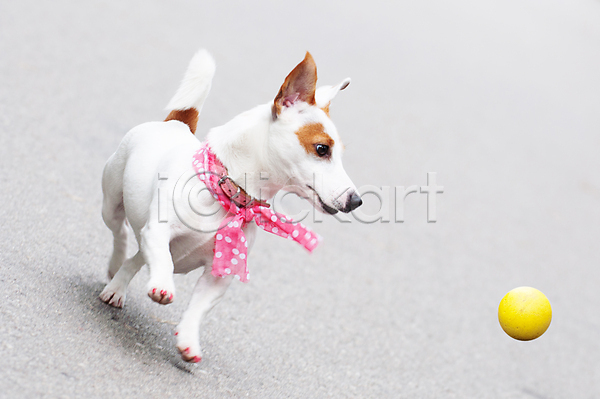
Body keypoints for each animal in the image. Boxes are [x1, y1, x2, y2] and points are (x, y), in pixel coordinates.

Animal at [99, 50, 360, 362]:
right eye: (322, 149)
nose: (356, 200)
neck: (230, 195)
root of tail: (176, 124)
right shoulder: (158, 232)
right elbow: (162, 258)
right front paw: (162, 285)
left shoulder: (219, 274)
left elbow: (198, 307)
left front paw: (188, 339)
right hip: (111, 205)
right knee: (122, 234)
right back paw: (116, 266)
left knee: (137, 259)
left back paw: (117, 286)